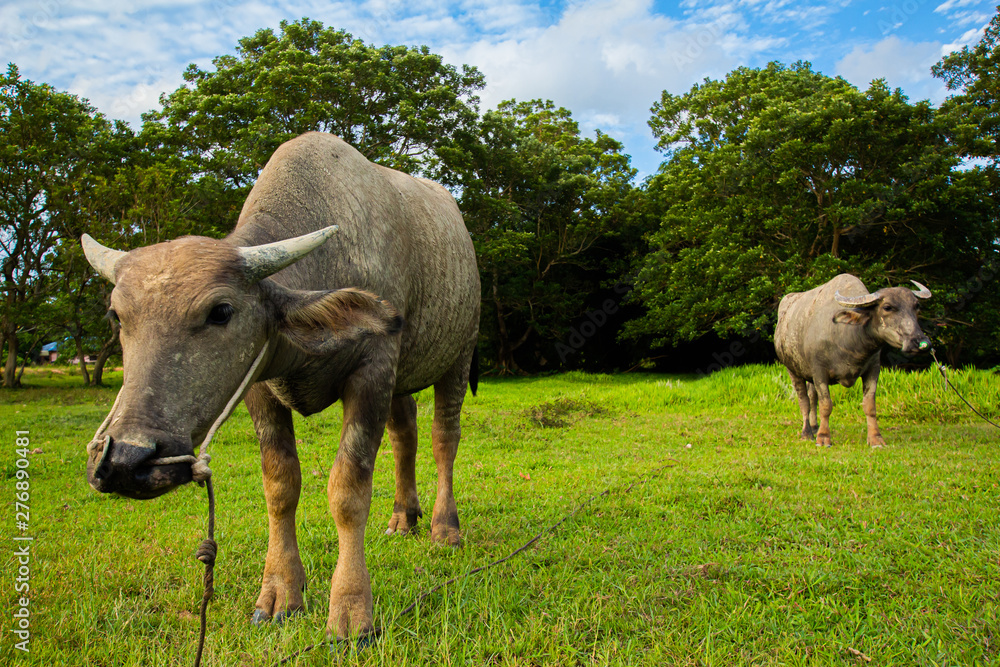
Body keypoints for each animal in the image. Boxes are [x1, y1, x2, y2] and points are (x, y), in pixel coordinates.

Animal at [82, 132, 480, 640]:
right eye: (117, 315)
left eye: (221, 311)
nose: (125, 460)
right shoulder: (260, 388)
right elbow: (280, 485)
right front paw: (279, 594)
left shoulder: (373, 367)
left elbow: (348, 489)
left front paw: (351, 611)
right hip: (402, 378)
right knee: (404, 434)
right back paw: (402, 516)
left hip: (457, 357)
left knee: (443, 438)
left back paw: (444, 527)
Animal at [774, 273, 931, 447]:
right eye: (887, 307)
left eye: (916, 306)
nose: (919, 342)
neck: (847, 337)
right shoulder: (819, 371)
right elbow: (826, 405)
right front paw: (823, 437)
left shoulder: (873, 369)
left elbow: (869, 405)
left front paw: (876, 438)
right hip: (793, 370)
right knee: (804, 401)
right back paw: (807, 432)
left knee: (812, 396)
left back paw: (815, 427)